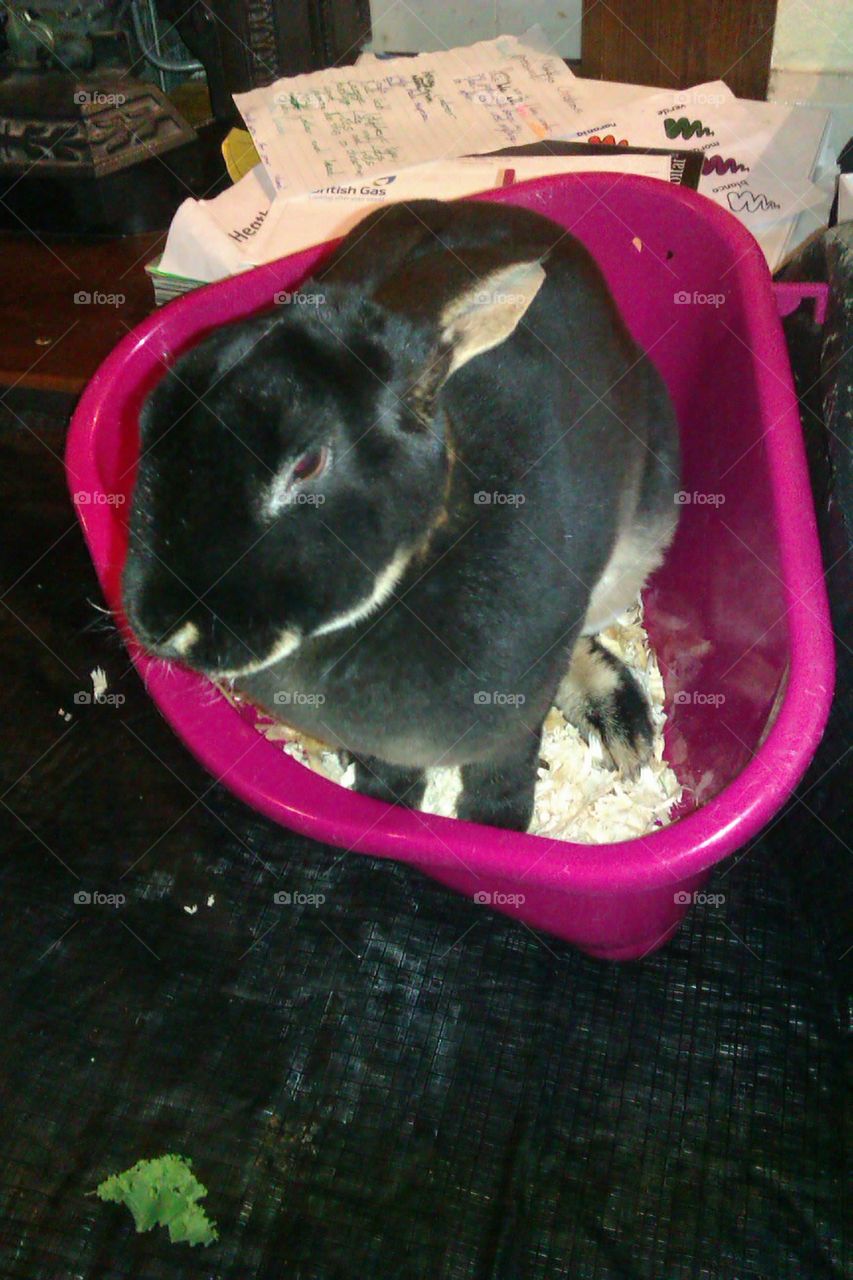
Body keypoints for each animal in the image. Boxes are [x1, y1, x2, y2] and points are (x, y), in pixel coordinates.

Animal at [121, 194, 676, 834]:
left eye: (307, 464)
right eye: (149, 419)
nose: (159, 627)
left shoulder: (515, 717)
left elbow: (504, 775)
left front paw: (494, 829)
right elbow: (392, 773)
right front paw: (386, 806)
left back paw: (623, 729)